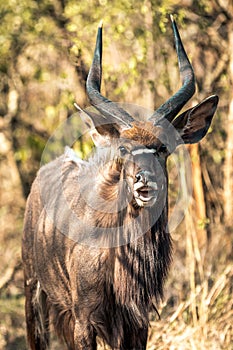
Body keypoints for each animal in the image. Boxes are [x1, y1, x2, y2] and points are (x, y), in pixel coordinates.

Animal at [21, 16, 218, 350]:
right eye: (124, 149)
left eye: (163, 147)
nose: (144, 182)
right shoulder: (84, 320)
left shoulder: (138, 323)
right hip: (32, 290)